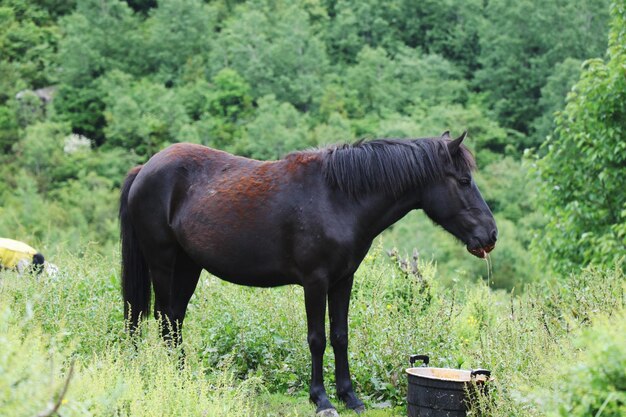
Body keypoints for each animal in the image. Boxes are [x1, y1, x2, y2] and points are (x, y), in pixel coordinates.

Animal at [119, 132, 494, 414]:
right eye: (463, 181)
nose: (490, 234)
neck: (338, 199)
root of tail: (145, 168)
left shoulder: (343, 280)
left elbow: (340, 335)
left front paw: (350, 397)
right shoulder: (315, 282)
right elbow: (317, 339)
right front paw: (322, 399)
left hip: (188, 266)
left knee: (174, 319)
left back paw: (184, 377)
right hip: (163, 263)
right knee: (164, 319)